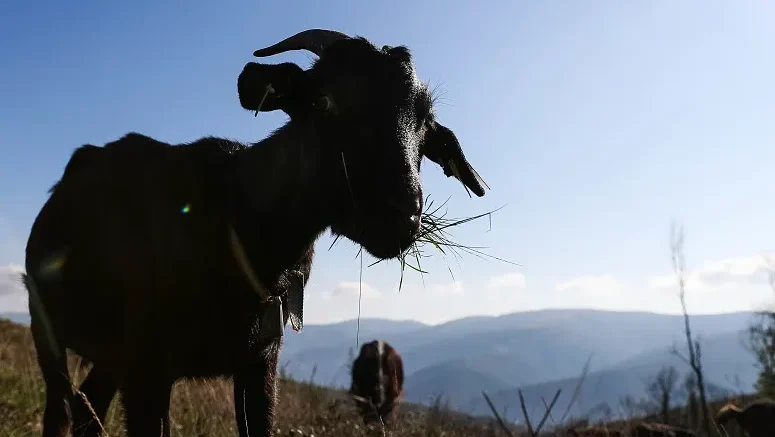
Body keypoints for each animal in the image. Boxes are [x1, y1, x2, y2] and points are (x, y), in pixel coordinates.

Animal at [24, 29, 488, 436]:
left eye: (425, 122)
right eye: (322, 101)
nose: (401, 217)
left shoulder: (260, 363)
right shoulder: (148, 367)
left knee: (88, 405)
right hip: (45, 322)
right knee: (61, 409)